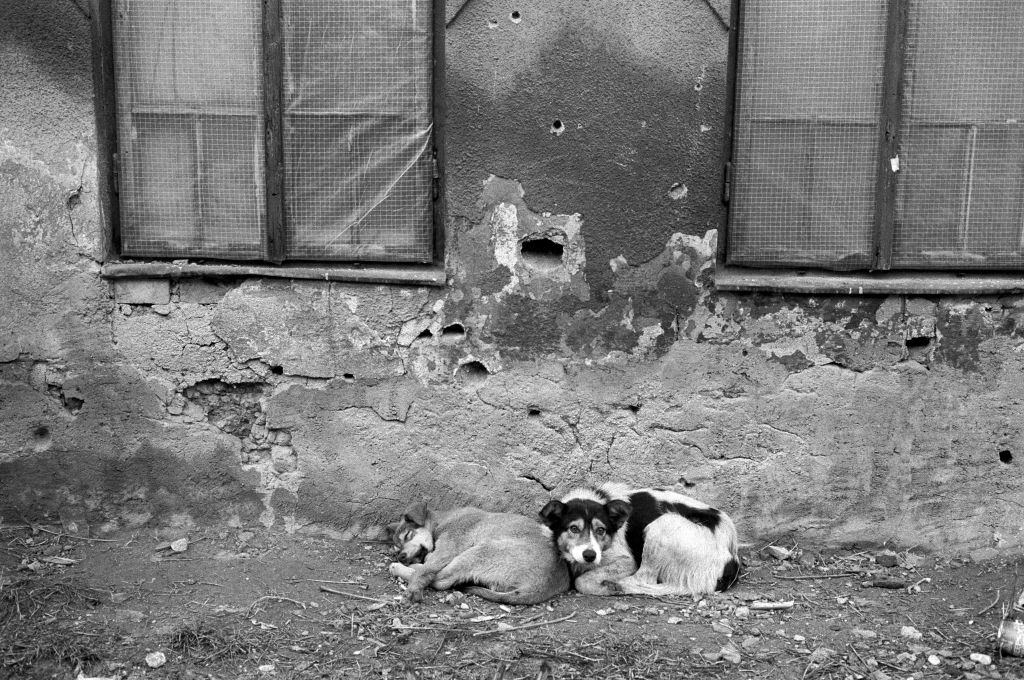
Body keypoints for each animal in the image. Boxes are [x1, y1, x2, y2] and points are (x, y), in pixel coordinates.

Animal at [389, 503, 573, 606]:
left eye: (408, 535)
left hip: (479, 552)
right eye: (397, 548)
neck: (440, 520)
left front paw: (413, 588)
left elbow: (426, 570)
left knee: (441, 580)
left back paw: (399, 568)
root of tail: (545, 585)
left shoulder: (448, 548)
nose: (401, 556)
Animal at [540, 481, 741, 598]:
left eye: (601, 530)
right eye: (573, 529)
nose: (590, 555)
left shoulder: (626, 561)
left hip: (662, 526)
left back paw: (618, 585)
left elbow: (581, 581)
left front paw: (603, 587)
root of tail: (732, 559)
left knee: (645, 579)